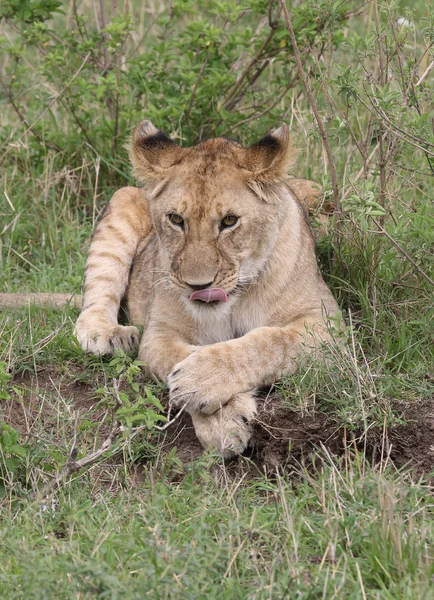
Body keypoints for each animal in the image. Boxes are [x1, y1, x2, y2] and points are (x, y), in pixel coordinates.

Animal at [75, 123, 340, 460]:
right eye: (176, 219)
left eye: (229, 221)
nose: (198, 286)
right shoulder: (160, 333)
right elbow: (175, 356)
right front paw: (223, 420)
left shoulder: (327, 323)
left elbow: (268, 342)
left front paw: (199, 379)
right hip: (124, 199)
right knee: (95, 300)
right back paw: (109, 335)